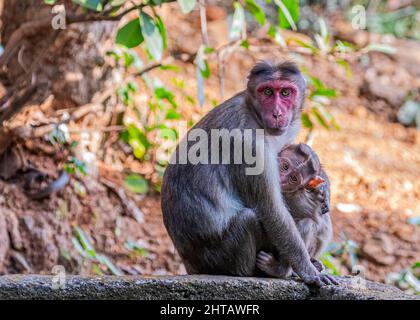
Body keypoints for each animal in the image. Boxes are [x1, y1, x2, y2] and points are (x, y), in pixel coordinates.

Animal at [258, 144, 334, 276]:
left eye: (293, 178)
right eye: (285, 167)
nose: (280, 179)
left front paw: (324, 189)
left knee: (306, 223)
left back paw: (282, 269)